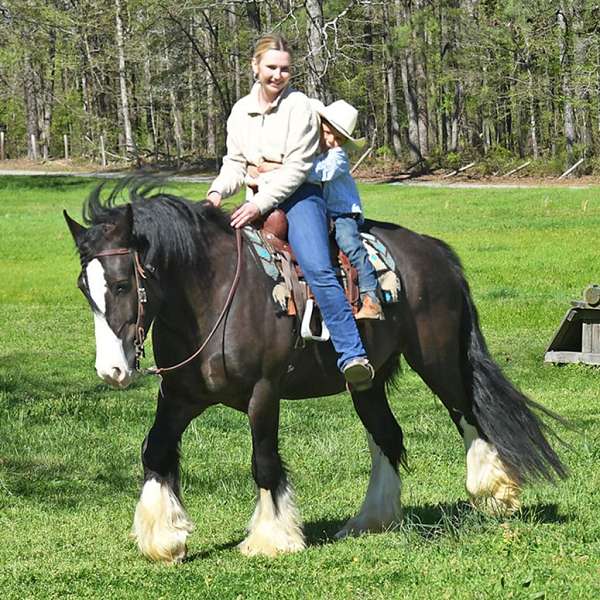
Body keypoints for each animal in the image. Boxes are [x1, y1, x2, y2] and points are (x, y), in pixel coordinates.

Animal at [63, 179, 564, 564]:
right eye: (85, 286)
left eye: (123, 284)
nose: (111, 370)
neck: (214, 294)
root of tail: (436, 253)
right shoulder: (180, 396)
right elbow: (155, 451)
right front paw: (164, 538)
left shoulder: (264, 393)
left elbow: (264, 462)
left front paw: (272, 538)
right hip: (368, 381)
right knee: (388, 436)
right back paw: (372, 520)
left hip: (437, 359)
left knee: (467, 414)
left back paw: (494, 492)